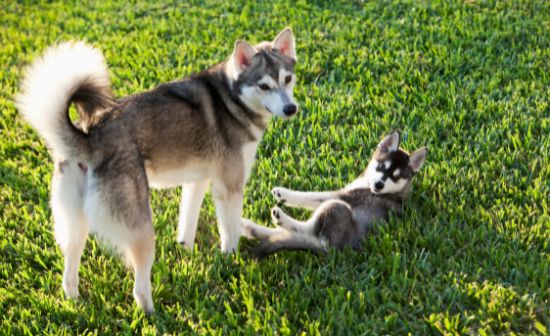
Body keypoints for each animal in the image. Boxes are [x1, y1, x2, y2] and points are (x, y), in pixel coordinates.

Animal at [17, 28, 300, 312]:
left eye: (287, 79)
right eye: (264, 86)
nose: (291, 109)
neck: (232, 99)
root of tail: (89, 135)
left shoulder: (197, 181)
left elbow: (187, 221)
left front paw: (186, 249)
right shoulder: (229, 187)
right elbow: (230, 232)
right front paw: (231, 261)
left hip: (75, 222)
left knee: (70, 265)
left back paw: (74, 298)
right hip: (141, 227)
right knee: (139, 286)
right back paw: (152, 313)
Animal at [244, 132, 430, 258]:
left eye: (395, 177)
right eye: (381, 167)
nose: (378, 185)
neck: (393, 192)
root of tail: (329, 248)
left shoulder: (342, 196)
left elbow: (311, 196)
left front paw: (283, 193)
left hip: (335, 208)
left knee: (302, 229)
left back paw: (278, 217)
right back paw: (249, 228)